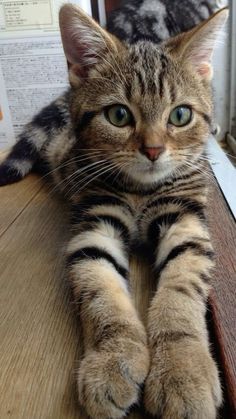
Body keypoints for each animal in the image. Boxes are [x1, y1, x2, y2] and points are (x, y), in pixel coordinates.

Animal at [0, 1, 229, 418]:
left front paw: (182, 367)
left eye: (180, 115)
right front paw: (113, 358)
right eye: (119, 115)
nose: (153, 150)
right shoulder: (95, 222)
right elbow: (99, 290)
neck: (140, 190)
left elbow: (181, 291)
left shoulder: (186, 222)